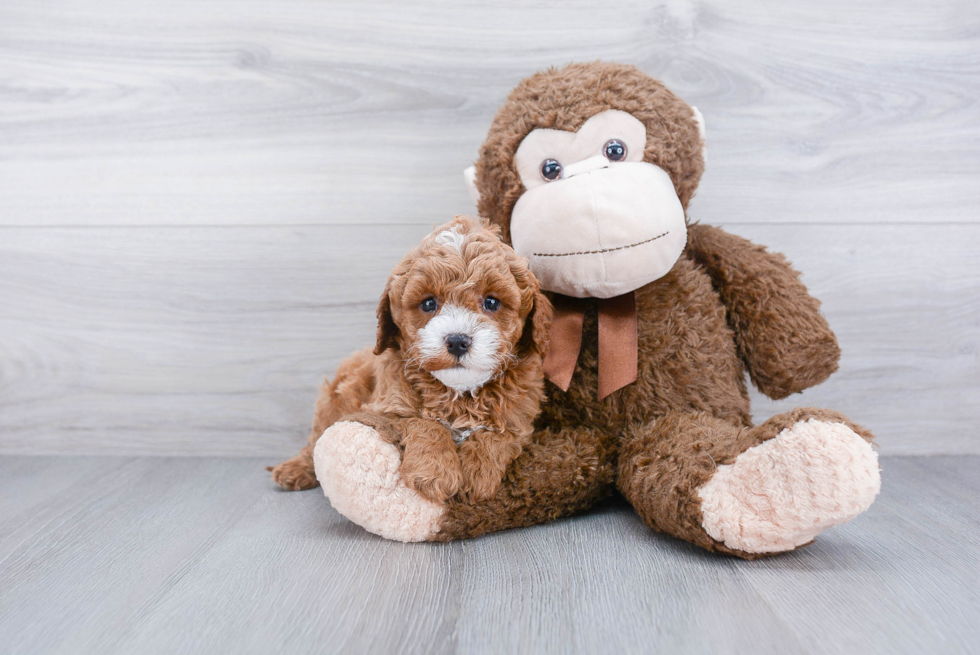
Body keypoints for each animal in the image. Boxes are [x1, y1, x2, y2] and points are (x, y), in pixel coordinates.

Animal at [270, 218, 552, 504]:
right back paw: (295, 469)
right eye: (428, 303)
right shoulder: (389, 406)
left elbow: (499, 433)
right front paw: (434, 474)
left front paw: (478, 474)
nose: (457, 341)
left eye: (492, 302)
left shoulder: (519, 417)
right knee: (316, 439)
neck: (459, 393)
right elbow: (423, 422)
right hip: (332, 400)